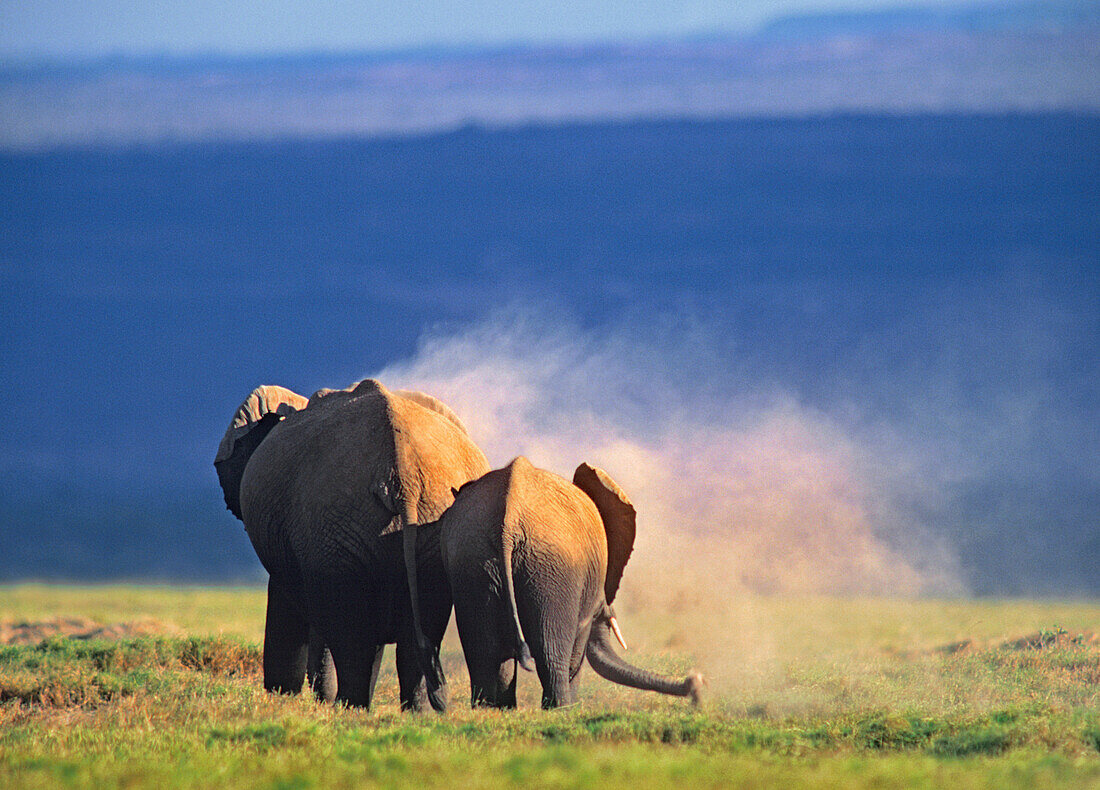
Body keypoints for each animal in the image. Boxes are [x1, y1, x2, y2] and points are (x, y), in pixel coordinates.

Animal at [212, 378, 488, 712]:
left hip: (336, 524)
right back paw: (412, 712)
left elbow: (285, 608)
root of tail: (400, 473)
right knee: (412, 627)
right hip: (416, 519)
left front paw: (281, 697)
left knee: (351, 629)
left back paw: (349, 706)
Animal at [415, 457, 699, 712]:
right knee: (550, 651)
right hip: (553, 568)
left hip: (473, 561)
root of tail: (508, 519)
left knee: (483, 650)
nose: (694, 683)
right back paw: (560, 709)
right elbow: (578, 643)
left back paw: (491, 711)